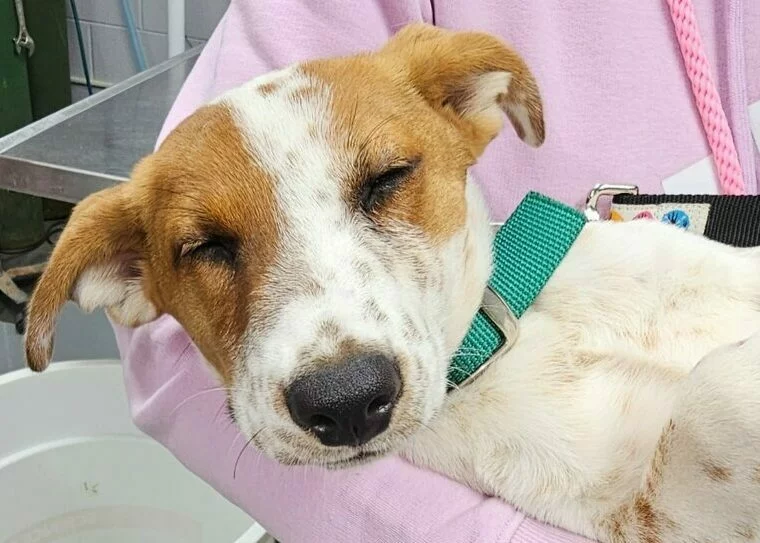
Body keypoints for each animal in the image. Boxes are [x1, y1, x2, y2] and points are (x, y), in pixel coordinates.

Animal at [19, 22, 760, 543]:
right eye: (205, 247)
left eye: (388, 178)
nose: (346, 402)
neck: (508, 337)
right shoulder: (642, 512)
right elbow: (716, 386)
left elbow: (715, 374)